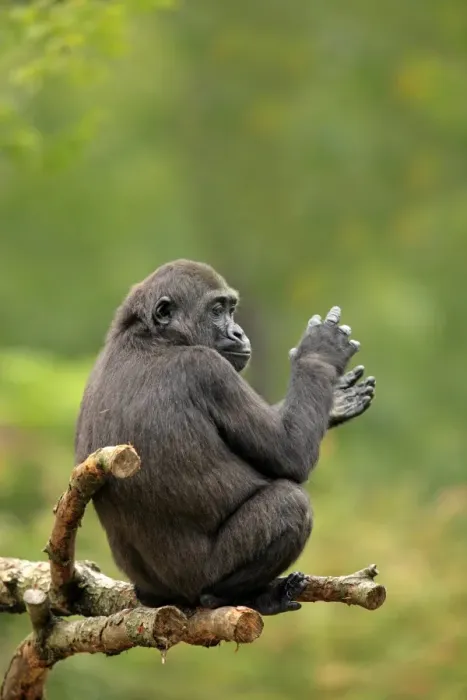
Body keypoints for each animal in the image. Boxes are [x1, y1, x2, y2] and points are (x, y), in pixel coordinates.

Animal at [75, 260, 375, 615]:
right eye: (217, 310)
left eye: (231, 309)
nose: (238, 333)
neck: (150, 336)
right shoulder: (209, 369)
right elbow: (291, 454)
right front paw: (319, 355)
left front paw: (335, 401)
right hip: (199, 577)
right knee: (290, 503)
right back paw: (227, 595)